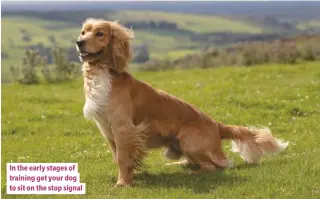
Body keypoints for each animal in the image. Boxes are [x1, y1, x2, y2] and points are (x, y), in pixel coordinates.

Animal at [76, 18, 288, 187]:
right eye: (84, 32)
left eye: (100, 33)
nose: (79, 42)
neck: (102, 73)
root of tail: (218, 125)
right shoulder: (108, 130)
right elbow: (120, 156)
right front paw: (131, 176)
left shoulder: (123, 128)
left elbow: (122, 158)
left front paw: (123, 183)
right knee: (197, 162)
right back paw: (176, 165)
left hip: (188, 139)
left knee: (214, 166)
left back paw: (193, 173)